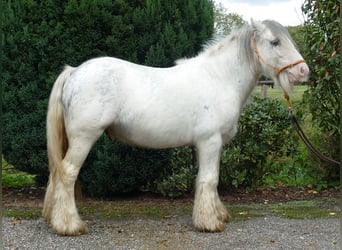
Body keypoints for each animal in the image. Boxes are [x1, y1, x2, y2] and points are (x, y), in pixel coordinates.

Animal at [43, 20, 310, 236]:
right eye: (275, 42)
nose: (303, 71)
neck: (219, 78)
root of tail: (73, 72)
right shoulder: (210, 141)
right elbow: (209, 179)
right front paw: (209, 222)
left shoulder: (211, 145)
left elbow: (208, 179)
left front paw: (217, 214)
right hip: (84, 138)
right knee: (67, 173)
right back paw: (69, 226)